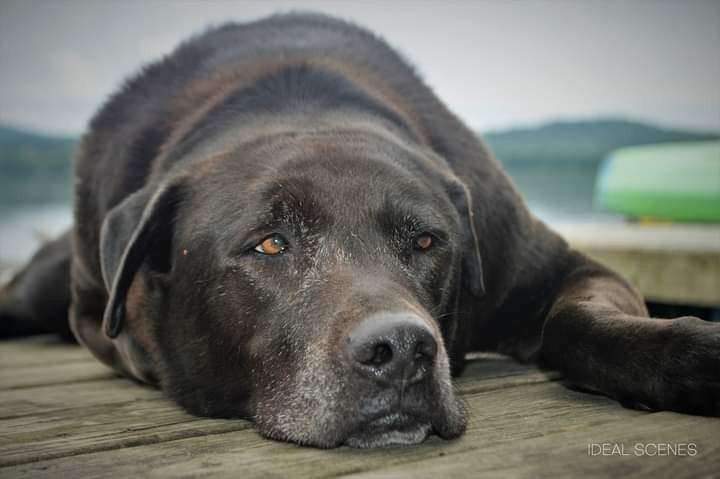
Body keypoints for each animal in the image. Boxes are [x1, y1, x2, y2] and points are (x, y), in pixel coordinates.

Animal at [1, 13, 718, 448]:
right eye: (269, 244)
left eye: (427, 242)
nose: (401, 350)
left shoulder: (551, 265)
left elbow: (578, 323)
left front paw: (691, 357)